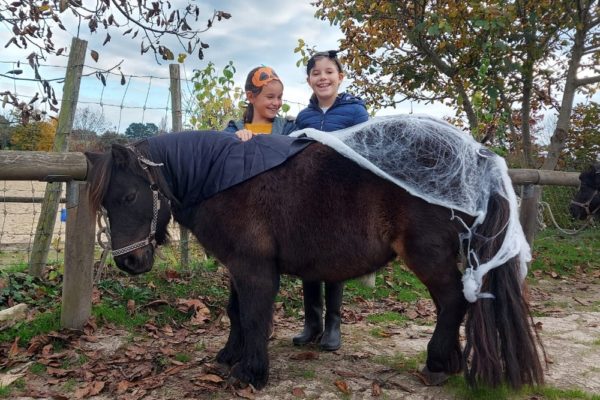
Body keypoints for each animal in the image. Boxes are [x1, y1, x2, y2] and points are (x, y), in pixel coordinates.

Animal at [85, 126, 544, 390]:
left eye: (129, 196)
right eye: (105, 202)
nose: (128, 263)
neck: (222, 177)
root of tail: (477, 159)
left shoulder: (254, 269)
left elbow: (254, 315)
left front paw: (251, 373)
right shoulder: (238, 266)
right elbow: (235, 312)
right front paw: (231, 355)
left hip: (428, 256)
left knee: (453, 301)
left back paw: (437, 363)